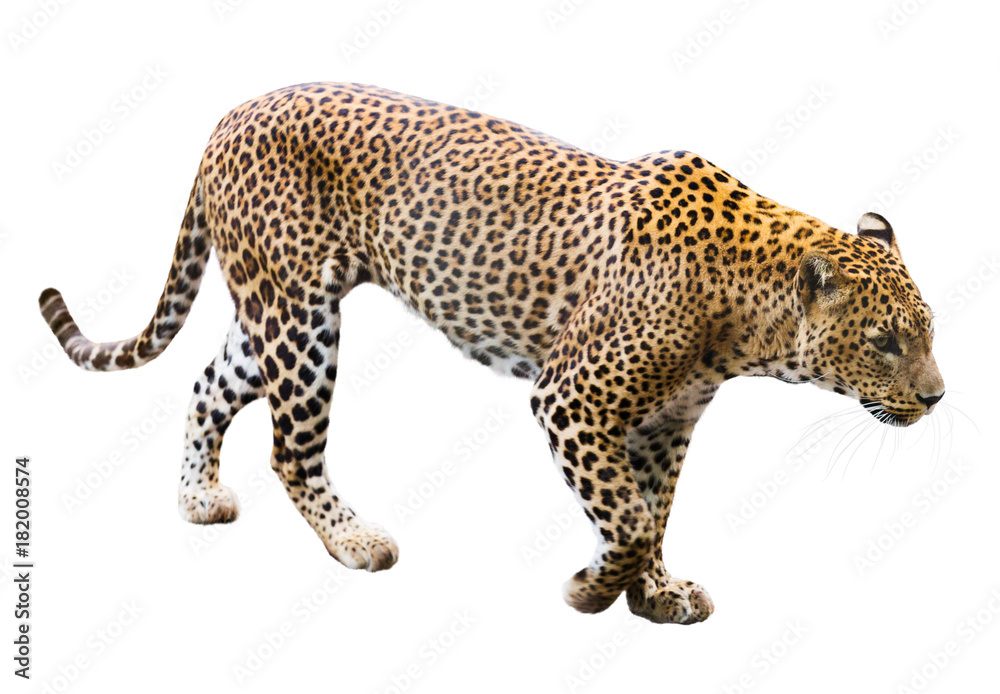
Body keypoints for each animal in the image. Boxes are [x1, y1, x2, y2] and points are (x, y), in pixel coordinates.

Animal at [39, 82, 944, 624]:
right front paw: (591, 591)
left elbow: (653, 511)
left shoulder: (667, 422)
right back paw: (354, 541)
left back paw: (197, 498)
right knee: (291, 447)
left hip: (270, 314)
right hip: (301, 320)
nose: (937, 397)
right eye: (884, 343)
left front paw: (654, 594)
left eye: (930, 333)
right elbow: (624, 514)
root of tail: (231, 112)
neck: (747, 320)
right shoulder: (571, 397)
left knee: (205, 385)